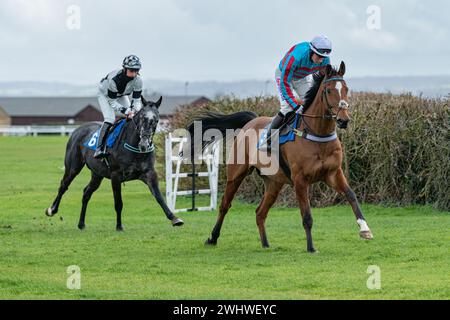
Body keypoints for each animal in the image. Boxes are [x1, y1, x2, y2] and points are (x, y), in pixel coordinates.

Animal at [46, 97, 184, 230]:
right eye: (142, 117)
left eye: (156, 119)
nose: (144, 144)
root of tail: (77, 130)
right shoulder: (116, 175)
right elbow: (118, 203)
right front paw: (119, 226)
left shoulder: (149, 173)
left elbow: (159, 196)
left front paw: (174, 218)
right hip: (73, 167)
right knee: (63, 186)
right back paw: (52, 210)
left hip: (97, 174)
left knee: (86, 193)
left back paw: (81, 223)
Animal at [189, 62, 372, 252]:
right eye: (329, 90)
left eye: (346, 89)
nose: (344, 120)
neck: (317, 134)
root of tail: (250, 122)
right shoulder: (300, 180)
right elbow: (306, 215)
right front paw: (311, 247)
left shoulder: (333, 173)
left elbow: (351, 195)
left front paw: (365, 229)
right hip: (236, 174)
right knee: (225, 205)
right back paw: (212, 238)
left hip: (273, 182)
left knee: (260, 212)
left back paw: (265, 244)